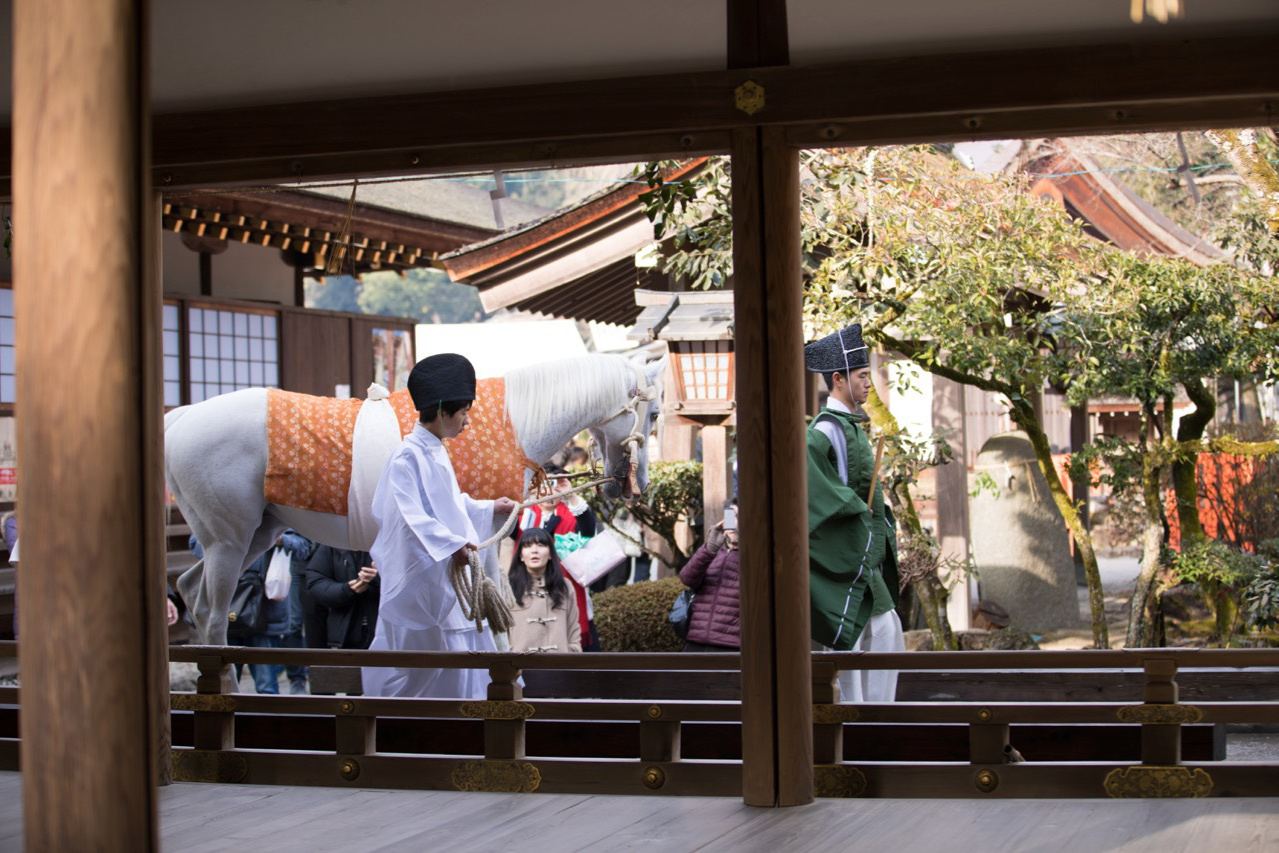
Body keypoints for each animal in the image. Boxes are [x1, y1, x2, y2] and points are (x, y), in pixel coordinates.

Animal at [164, 355, 665, 647]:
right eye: (655, 413)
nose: (632, 484)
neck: (515, 425)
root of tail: (181, 418)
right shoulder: (480, 534)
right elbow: (495, 605)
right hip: (229, 539)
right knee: (211, 612)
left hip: (254, 532)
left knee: (189, 590)